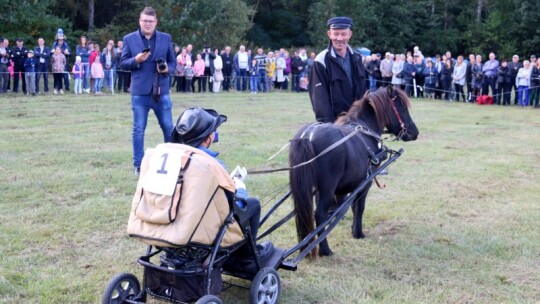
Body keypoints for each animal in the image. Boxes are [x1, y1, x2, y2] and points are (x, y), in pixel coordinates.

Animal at [292, 86, 418, 258]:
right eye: (402, 107)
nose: (415, 132)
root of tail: (308, 137)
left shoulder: (344, 187)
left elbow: (346, 206)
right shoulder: (365, 182)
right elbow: (359, 207)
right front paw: (358, 232)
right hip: (326, 188)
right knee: (320, 214)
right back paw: (325, 249)